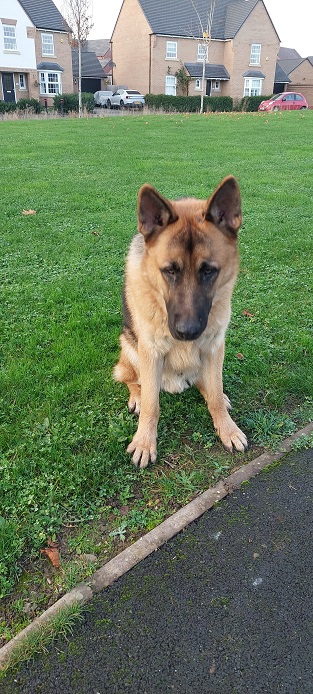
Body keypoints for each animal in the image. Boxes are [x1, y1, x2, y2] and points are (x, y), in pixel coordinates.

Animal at [113, 177, 247, 470]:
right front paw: (145, 442)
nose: (188, 332)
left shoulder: (214, 347)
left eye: (209, 271)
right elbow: (152, 406)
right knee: (130, 379)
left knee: (207, 385)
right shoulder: (150, 353)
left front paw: (227, 428)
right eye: (170, 271)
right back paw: (136, 396)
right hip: (130, 347)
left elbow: (215, 395)